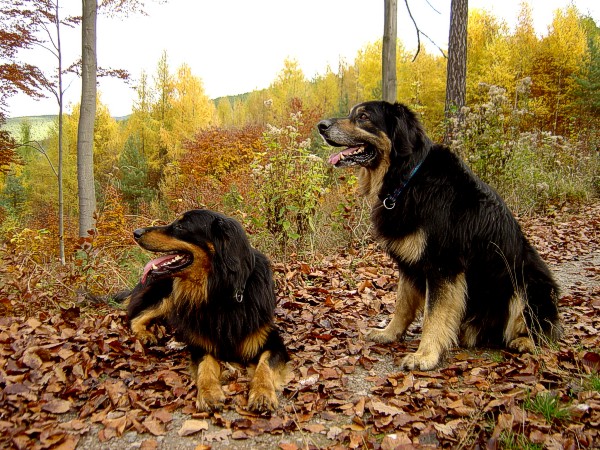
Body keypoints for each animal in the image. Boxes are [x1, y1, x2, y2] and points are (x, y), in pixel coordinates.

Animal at [122, 209, 288, 414]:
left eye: (180, 226)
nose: (136, 233)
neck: (221, 293)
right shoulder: (201, 344)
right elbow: (205, 366)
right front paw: (209, 393)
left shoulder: (272, 341)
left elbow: (264, 365)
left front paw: (262, 393)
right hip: (168, 295)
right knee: (134, 316)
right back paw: (145, 334)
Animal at [318, 101, 564, 370]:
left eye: (363, 116)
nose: (321, 126)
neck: (408, 177)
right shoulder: (409, 264)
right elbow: (402, 305)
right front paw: (390, 333)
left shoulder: (442, 267)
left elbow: (433, 315)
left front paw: (425, 355)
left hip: (526, 283)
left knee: (543, 330)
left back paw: (525, 341)